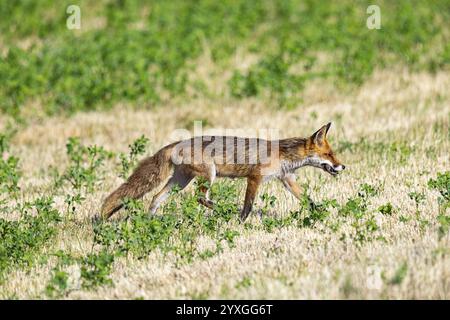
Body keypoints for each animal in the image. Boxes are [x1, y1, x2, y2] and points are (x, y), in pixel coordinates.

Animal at [100, 121, 344, 221]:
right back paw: (222, 208)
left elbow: (308, 200)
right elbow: (248, 205)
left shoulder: (287, 179)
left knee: (156, 197)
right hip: (209, 175)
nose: (343, 166)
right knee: (200, 198)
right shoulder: (255, 177)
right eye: (329, 154)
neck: (283, 155)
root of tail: (179, 141)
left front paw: (320, 213)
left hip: (181, 180)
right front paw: (241, 221)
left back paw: (149, 220)